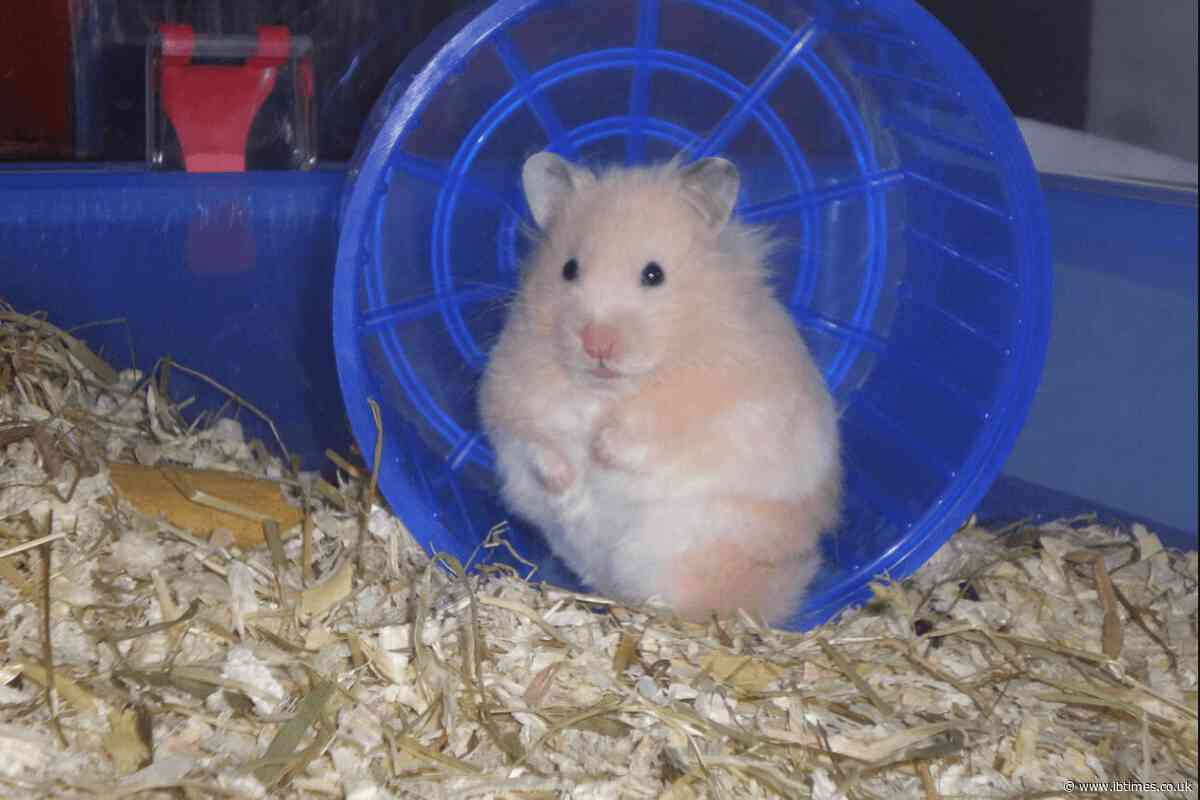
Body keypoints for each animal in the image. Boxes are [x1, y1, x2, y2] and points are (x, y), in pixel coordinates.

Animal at [478, 151, 842, 625]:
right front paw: (566, 481)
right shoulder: (510, 402)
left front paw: (600, 449)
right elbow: (538, 443)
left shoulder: (724, 415)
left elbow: (651, 436)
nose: (597, 343)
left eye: (654, 275)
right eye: (568, 269)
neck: (607, 389)